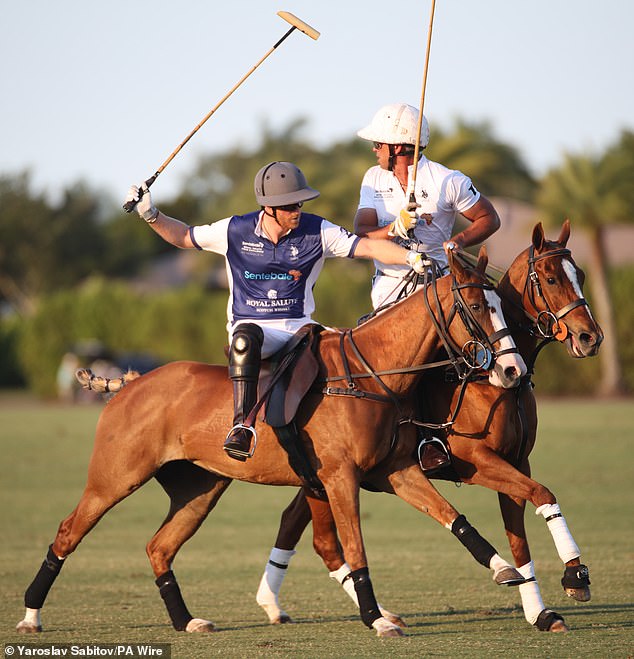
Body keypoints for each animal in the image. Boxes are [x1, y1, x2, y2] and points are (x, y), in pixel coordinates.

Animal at [17, 248, 524, 640]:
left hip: (199, 489)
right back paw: (31, 616)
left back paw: (187, 621)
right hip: (115, 478)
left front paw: (505, 569)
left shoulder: (397, 471)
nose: (511, 370)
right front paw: (377, 620)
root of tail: (132, 382)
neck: (371, 374)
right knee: (68, 532)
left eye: (500, 303)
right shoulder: (340, 478)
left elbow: (454, 517)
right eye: (476, 306)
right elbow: (355, 547)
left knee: (159, 546)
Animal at [253, 222, 604, 636]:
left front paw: (541, 611)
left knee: (298, 521)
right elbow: (542, 493)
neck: (493, 382)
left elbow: (521, 534)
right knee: (312, 531)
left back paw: (274, 602)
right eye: (550, 278)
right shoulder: (475, 460)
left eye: (581, 276)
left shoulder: (518, 460)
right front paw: (575, 577)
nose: (590, 337)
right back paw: (280, 604)